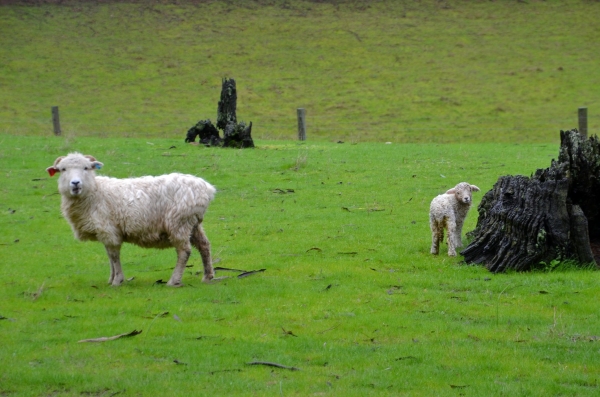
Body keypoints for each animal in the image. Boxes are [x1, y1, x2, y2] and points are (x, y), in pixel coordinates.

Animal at [47, 153, 216, 286]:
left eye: (86, 168)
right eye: (63, 169)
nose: (75, 183)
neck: (95, 192)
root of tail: (207, 189)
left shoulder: (108, 230)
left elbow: (114, 256)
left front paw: (117, 281)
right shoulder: (107, 232)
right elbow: (109, 256)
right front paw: (111, 278)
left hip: (178, 222)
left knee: (184, 251)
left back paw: (173, 281)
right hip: (193, 223)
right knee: (204, 245)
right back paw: (208, 276)